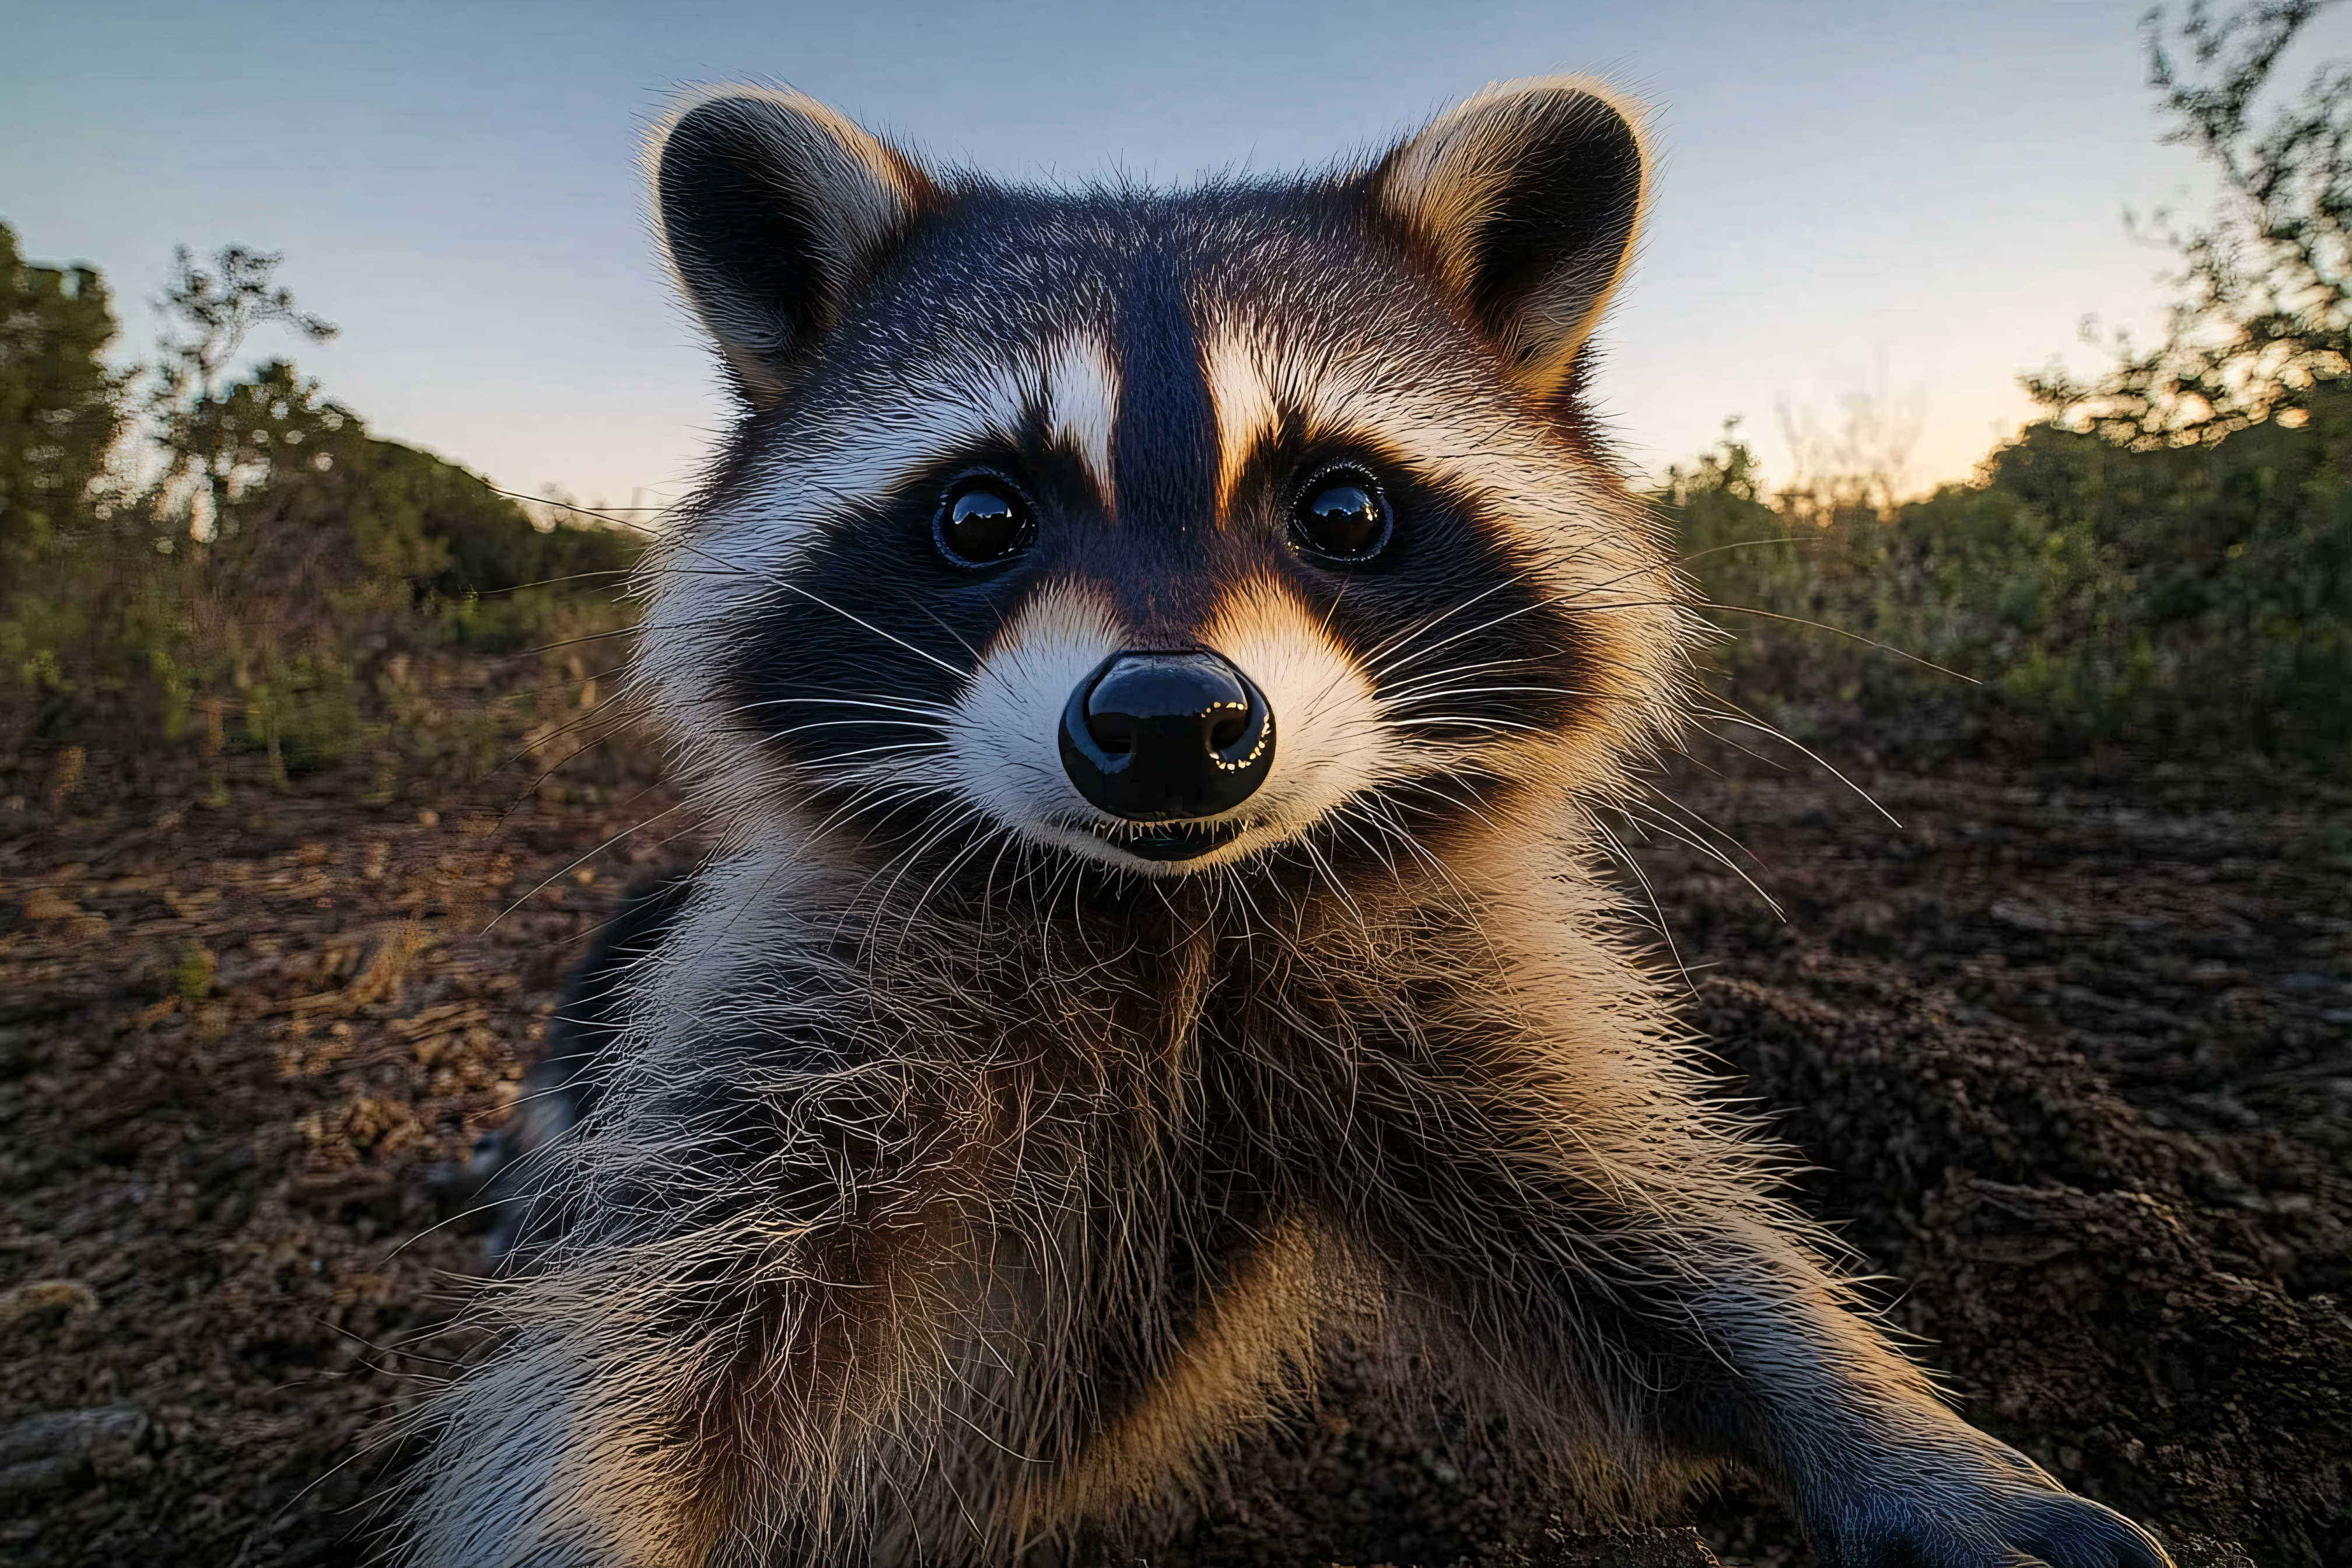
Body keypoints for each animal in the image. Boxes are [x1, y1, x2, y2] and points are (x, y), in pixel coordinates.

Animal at [404, 78, 2173, 1568]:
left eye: (1344, 507)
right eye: (980, 515)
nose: (1168, 728)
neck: (1170, 917)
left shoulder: (1420, 985)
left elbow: (1639, 1249)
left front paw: (1879, 1425)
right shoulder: (813, 1007)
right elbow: (655, 1340)